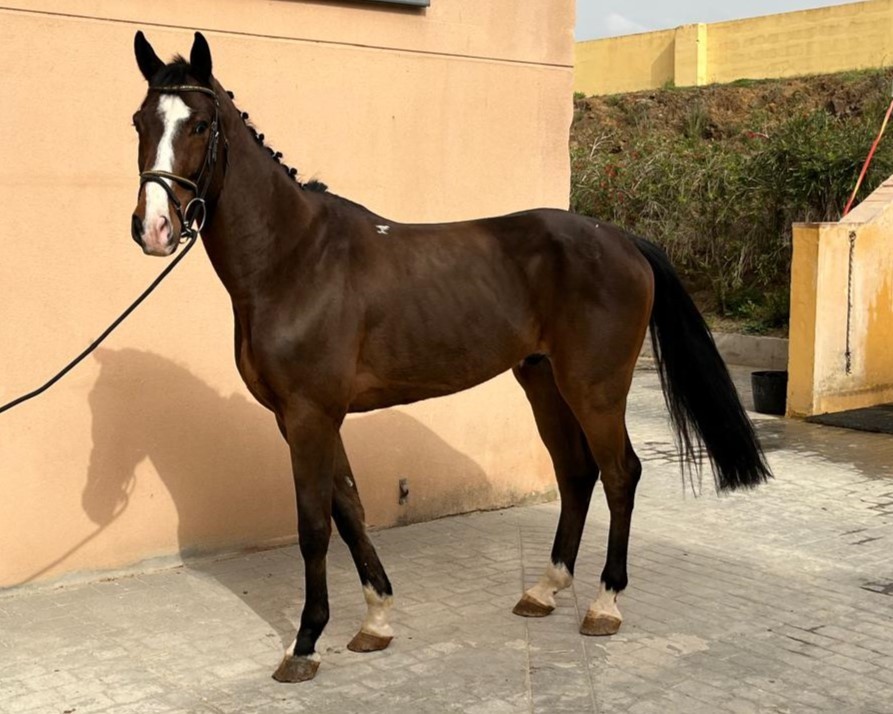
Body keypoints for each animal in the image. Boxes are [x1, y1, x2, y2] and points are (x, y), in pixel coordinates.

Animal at [129, 31, 770, 683]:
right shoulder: (307, 418)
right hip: (542, 382)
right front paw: (376, 620)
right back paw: (544, 590)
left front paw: (306, 643)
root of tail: (623, 240)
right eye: (140, 122)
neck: (294, 259)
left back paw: (604, 604)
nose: (153, 229)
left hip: (596, 388)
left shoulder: (310, 415)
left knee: (620, 474)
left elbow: (314, 526)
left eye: (200, 124)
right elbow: (350, 509)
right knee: (576, 473)